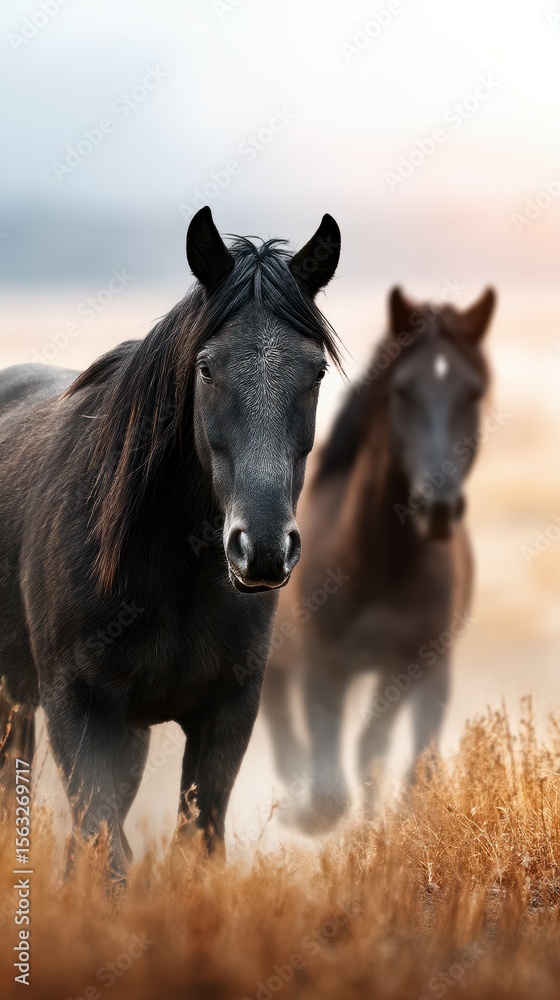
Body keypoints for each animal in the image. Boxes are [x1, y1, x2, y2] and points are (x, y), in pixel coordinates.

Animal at [0, 206, 341, 879]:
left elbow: (194, 846)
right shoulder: (77, 709)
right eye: (206, 367)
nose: (264, 549)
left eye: (315, 370)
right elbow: (108, 855)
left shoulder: (225, 713)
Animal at [262, 285, 496, 832]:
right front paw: (312, 814)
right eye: (403, 391)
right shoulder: (324, 663)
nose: (438, 507)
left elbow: (393, 759)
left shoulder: (419, 663)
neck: (385, 562)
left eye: (473, 393)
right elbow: (329, 790)